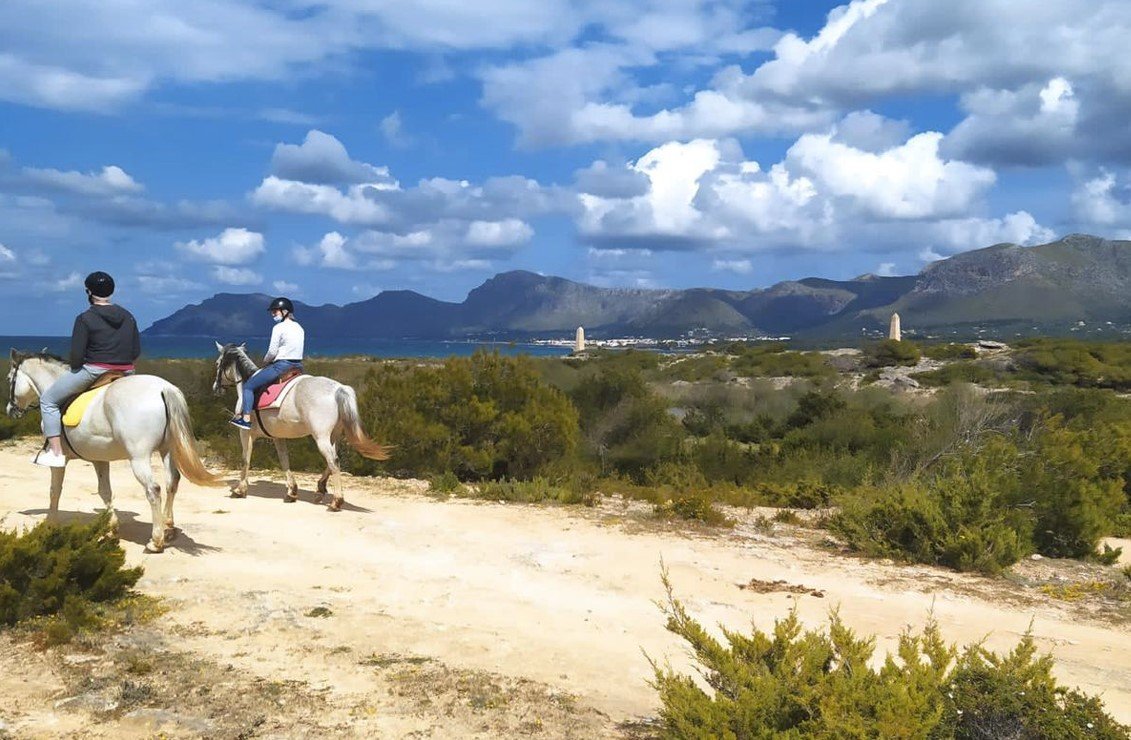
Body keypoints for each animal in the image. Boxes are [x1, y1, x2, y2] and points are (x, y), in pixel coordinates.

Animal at [6, 349, 223, 552]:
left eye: (9, 379)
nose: (10, 410)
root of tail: (163, 388)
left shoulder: (61, 459)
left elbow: (55, 491)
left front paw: (50, 523)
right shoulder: (99, 459)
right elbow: (105, 491)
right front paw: (111, 526)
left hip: (139, 458)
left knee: (153, 490)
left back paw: (156, 541)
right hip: (168, 450)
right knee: (172, 481)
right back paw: (168, 527)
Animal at [212, 342, 390, 511]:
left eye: (218, 363)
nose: (216, 388)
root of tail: (338, 388)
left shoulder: (245, 433)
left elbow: (245, 459)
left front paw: (240, 490)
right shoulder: (277, 436)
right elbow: (284, 460)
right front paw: (291, 491)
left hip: (321, 436)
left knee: (333, 461)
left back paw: (336, 501)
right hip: (334, 435)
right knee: (334, 458)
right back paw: (320, 489)